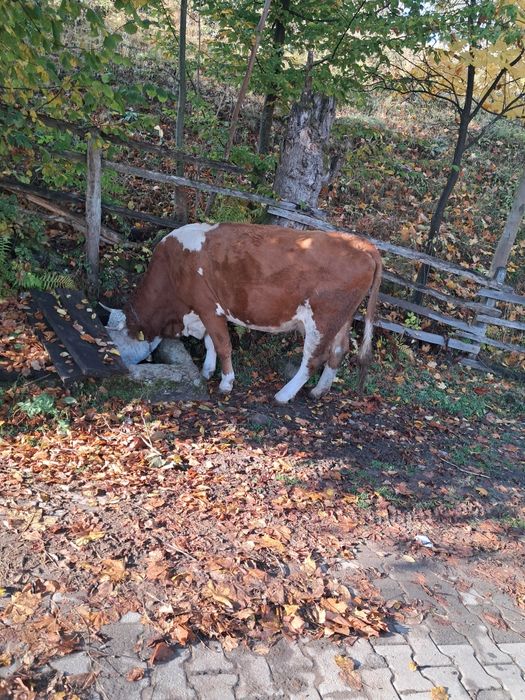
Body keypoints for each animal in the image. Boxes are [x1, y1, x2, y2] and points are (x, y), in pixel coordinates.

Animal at [107, 222, 382, 403]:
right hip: (342, 318)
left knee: (313, 358)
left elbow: (222, 344)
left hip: (322, 319)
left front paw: (226, 383)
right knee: (339, 350)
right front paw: (207, 370)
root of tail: (361, 243)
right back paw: (319, 391)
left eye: (117, 343)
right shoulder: (204, 311)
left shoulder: (208, 306)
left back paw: (283, 394)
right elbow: (210, 342)